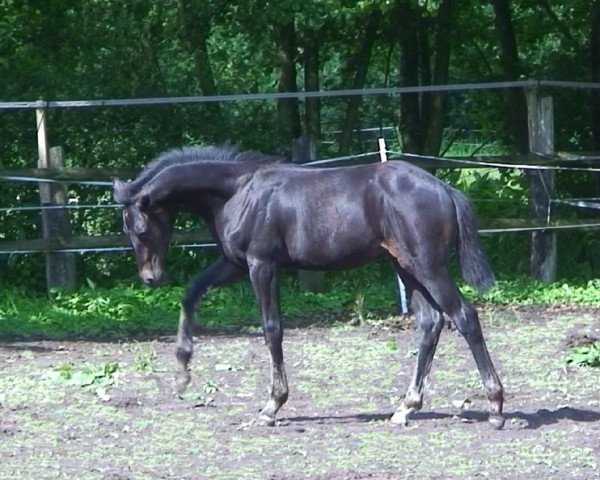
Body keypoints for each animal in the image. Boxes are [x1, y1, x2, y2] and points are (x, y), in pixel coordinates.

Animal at [115, 145, 504, 428]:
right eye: (126, 228)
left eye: (140, 228)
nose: (150, 277)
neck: (239, 192)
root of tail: (444, 188)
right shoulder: (235, 264)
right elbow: (191, 293)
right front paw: (182, 371)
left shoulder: (262, 265)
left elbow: (272, 329)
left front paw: (272, 405)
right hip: (405, 266)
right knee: (430, 323)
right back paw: (405, 407)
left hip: (428, 266)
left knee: (464, 316)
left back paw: (496, 406)